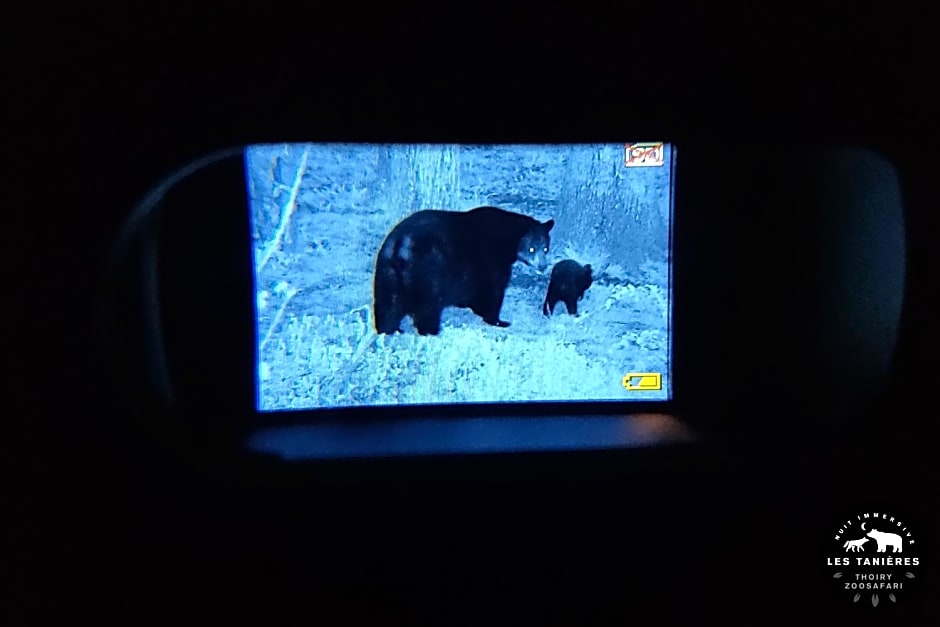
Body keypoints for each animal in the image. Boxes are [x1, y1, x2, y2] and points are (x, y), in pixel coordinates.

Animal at [372, 207, 556, 336]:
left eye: (545, 248)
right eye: (531, 249)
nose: (543, 266)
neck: (507, 241)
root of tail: (401, 247)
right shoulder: (489, 259)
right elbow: (492, 289)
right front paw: (498, 320)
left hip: (386, 272)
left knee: (387, 305)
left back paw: (390, 330)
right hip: (427, 272)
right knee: (427, 306)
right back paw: (431, 330)